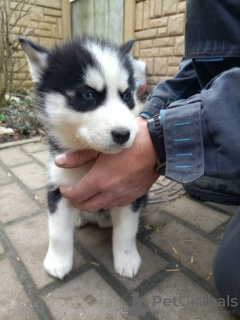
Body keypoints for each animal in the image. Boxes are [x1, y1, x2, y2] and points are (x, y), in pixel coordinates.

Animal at [19, 35, 146, 280]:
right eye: (88, 95)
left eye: (127, 95)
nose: (124, 134)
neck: (92, 157)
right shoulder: (58, 184)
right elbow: (58, 231)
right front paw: (57, 262)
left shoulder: (130, 190)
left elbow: (126, 230)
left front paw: (127, 259)